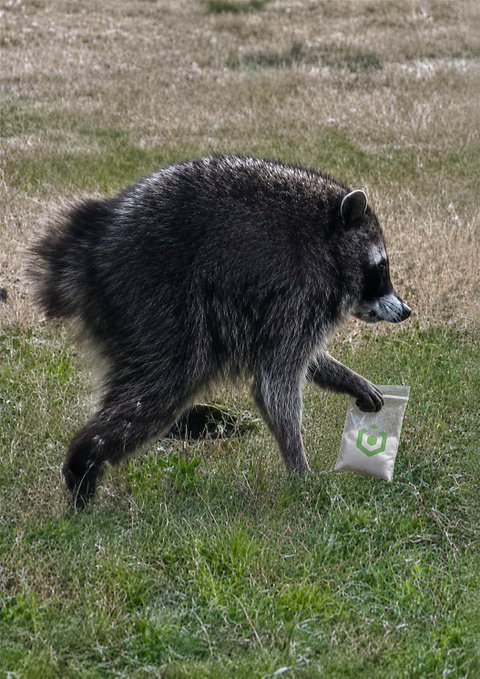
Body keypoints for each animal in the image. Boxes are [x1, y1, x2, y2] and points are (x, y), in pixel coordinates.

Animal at [30, 155, 410, 508]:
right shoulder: (299, 291)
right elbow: (275, 384)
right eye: (381, 269)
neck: (328, 241)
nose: (406, 311)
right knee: (164, 384)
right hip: (155, 299)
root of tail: (94, 242)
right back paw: (84, 462)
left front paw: (348, 379)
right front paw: (299, 471)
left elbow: (301, 361)